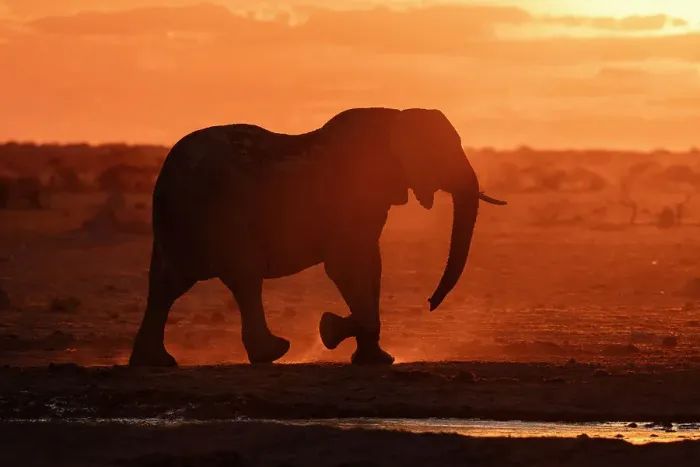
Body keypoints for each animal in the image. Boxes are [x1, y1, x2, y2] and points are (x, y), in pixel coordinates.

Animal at [128, 107, 506, 368]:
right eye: (442, 152)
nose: (429, 303)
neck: (396, 117)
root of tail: (166, 173)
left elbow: (370, 264)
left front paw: (373, 358)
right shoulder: (355, 192)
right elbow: (347, 265)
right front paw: (330, 330)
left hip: (181, 219)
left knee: (167, 283)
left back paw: (155, 362)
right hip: (219, 211)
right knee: (244, 276)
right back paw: (273, 351)